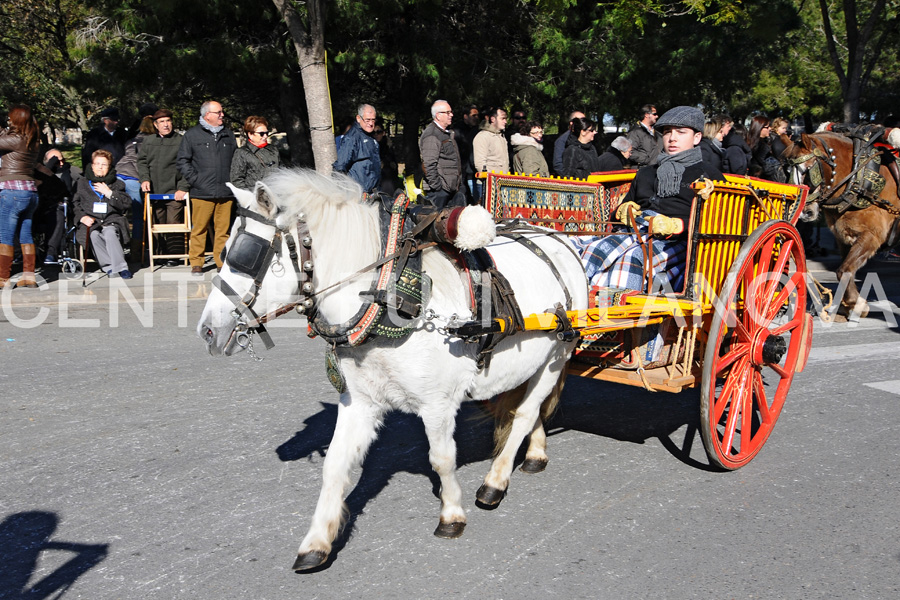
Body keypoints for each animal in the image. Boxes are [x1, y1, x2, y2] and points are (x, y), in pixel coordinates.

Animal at [198, 170, 592, 572]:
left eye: (246, 253)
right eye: (225, 251)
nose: (208, 330)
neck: (386, 296)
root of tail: (559, 238)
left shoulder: (436, 405)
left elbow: (442, 459)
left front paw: (451, 513)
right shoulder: (359, 401)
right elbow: (335, 465)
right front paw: (317, 542)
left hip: (559, 352)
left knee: (525, 413)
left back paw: (495, 481)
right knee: (527, 410)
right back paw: (534, 454)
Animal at [780, 132, 900, 318]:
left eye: (808, 170)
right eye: (787, 172)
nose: (805, 212)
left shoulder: (872, 236)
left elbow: (843, 270)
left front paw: (857, 304)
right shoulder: (842, 238)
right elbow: (844, 269)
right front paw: (848, 304)